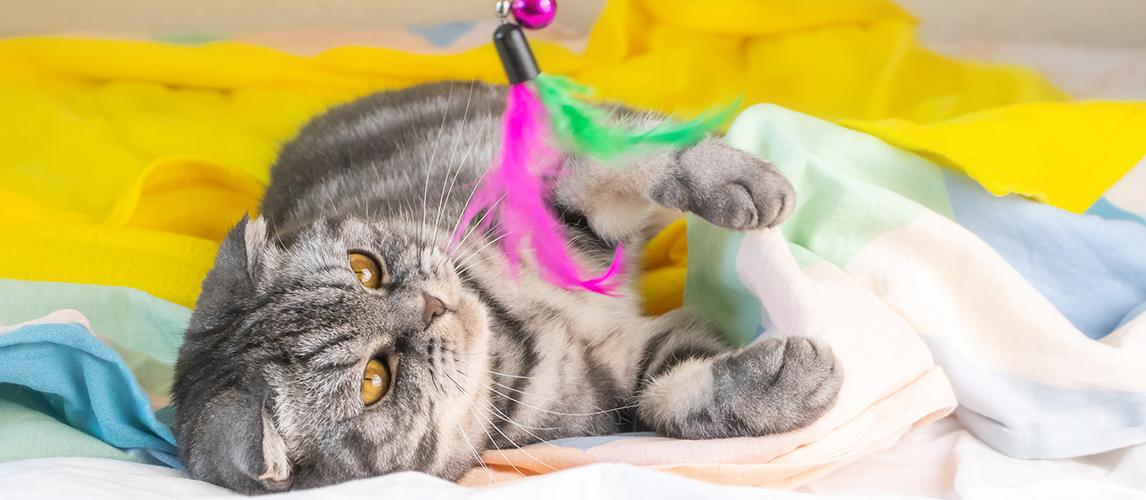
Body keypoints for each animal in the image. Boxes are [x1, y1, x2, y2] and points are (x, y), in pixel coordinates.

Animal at [169, 80, 843, 493]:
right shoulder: (611, 387)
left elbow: (635, 167)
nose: (432, 304)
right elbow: (675, 403)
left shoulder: (554, 198)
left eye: (365, 268)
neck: (508, 318)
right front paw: (789, 382)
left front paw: (737, 181)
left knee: (627, 130)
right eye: (373, 381)